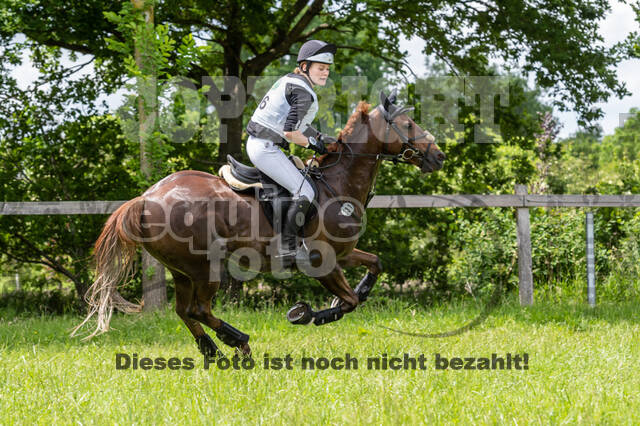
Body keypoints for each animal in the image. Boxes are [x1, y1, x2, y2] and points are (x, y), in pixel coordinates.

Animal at [73, 91, 446, 358]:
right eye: (408, 124)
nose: (439, 156)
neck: (335, 184)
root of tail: (146, 197)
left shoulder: (344, 253)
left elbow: (374, 266)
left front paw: (346, 297)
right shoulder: (321, 262)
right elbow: (350, 302)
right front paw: (307, 313)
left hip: (181, 270)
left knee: (184, 311)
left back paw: (212, 350)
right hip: (205, 267)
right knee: (198, 309)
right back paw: (237, 341)